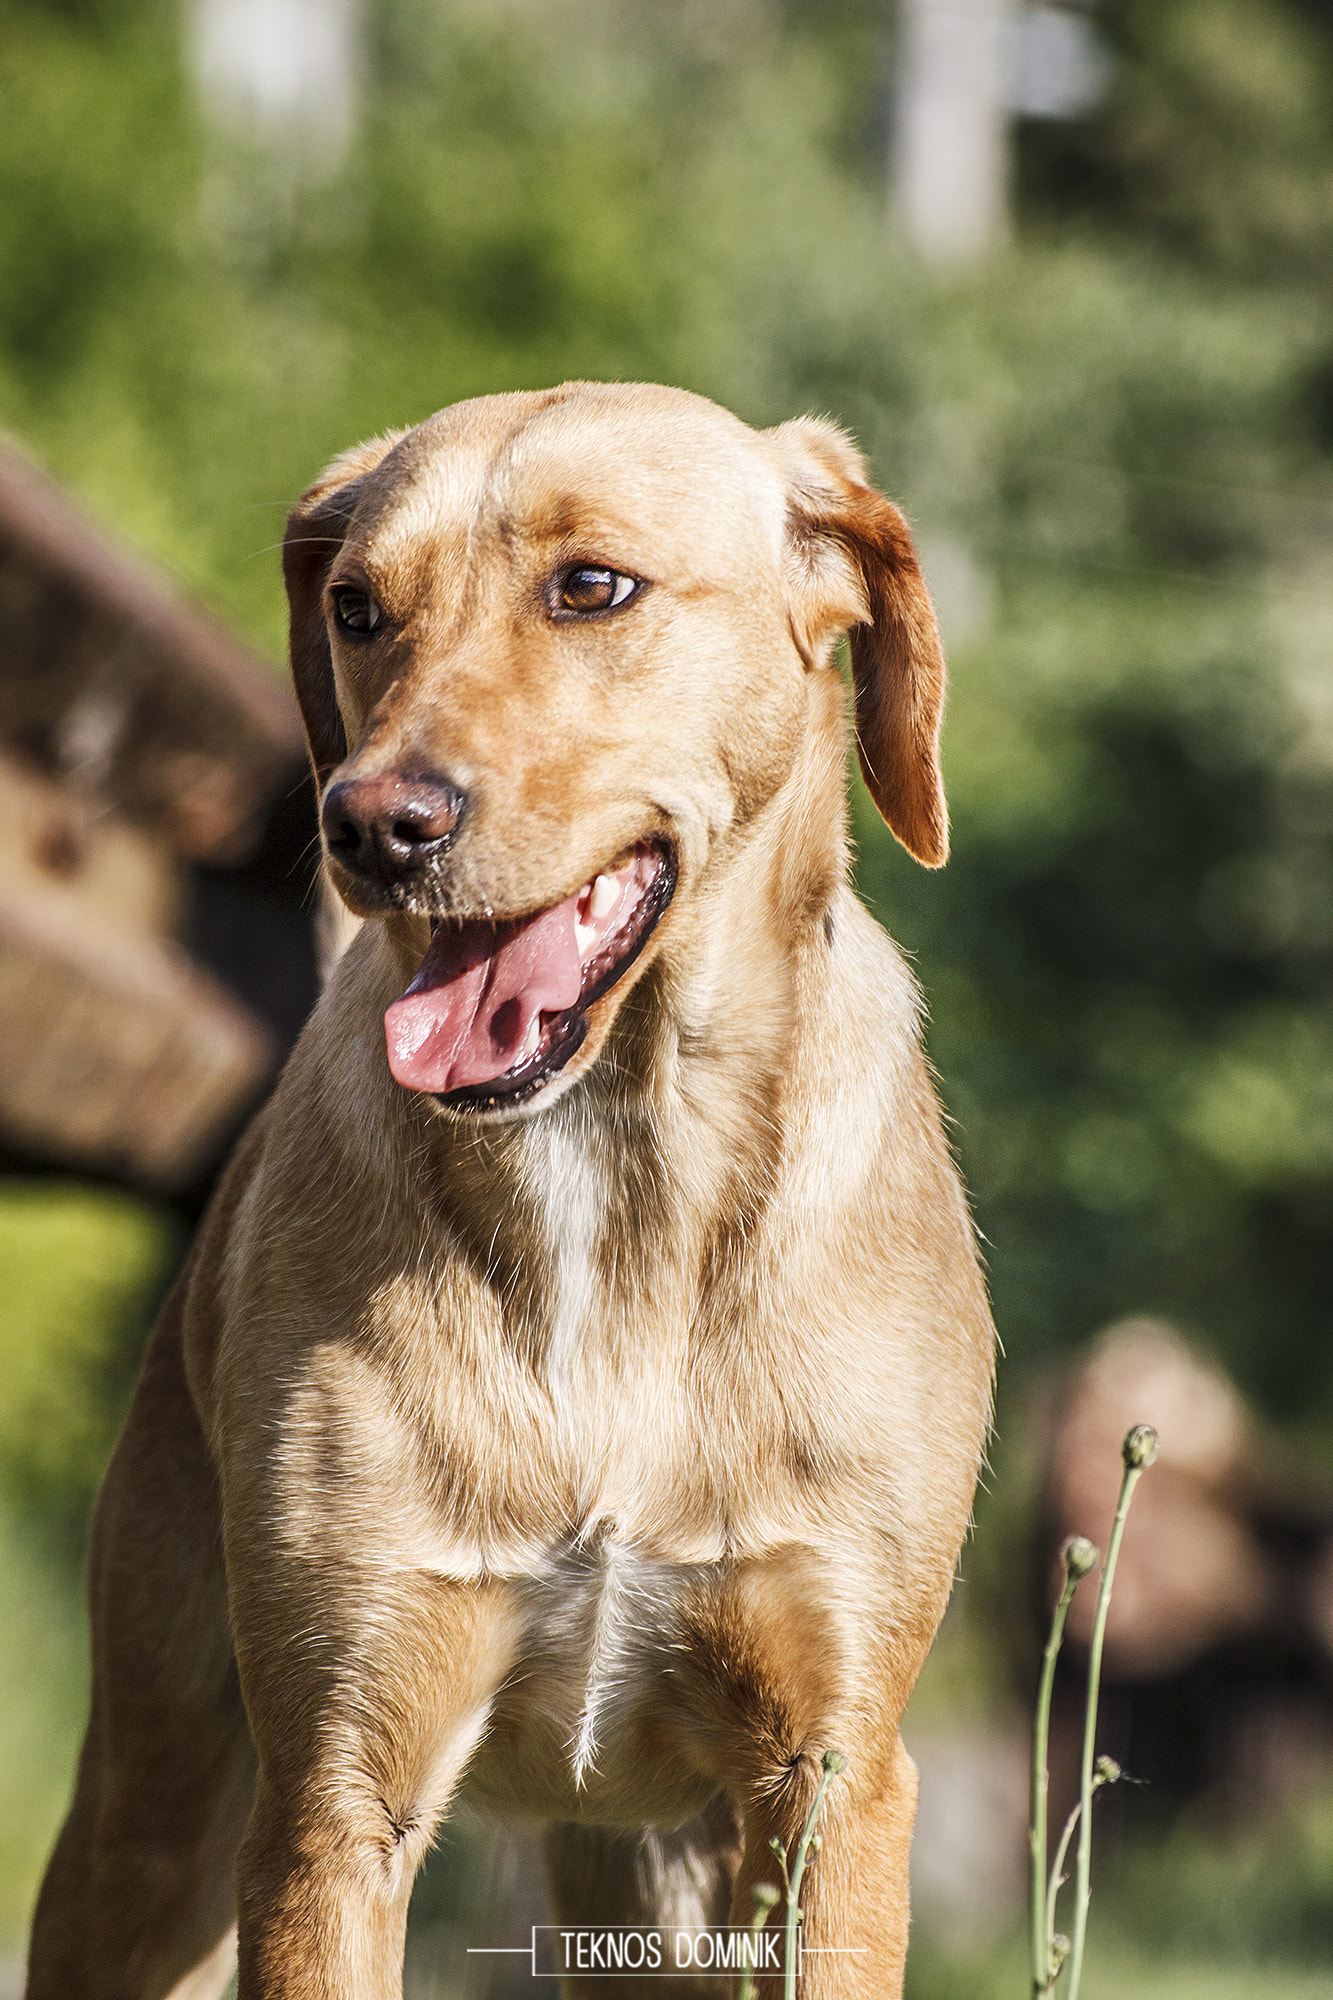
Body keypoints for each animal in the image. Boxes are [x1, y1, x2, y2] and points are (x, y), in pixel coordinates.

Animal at [26, 382, 992, 1992]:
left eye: (591, 585)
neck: (616, 1177)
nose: (368, 822)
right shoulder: (336, 1789)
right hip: (151, 1815)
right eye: (357, 607)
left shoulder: (830, 1779)